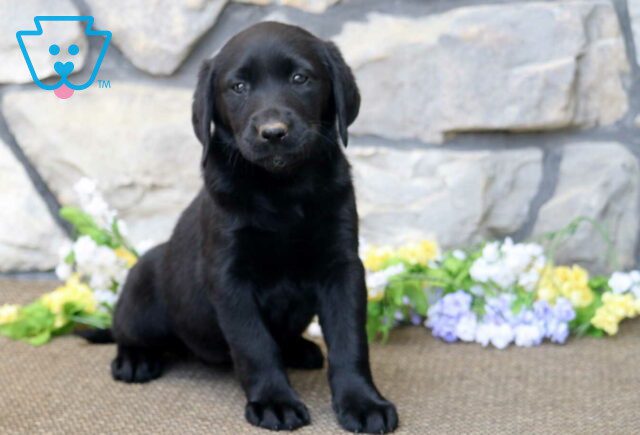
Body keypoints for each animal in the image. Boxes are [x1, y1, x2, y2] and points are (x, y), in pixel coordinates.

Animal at [112, 22, 398, 434]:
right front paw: (275, 402)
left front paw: (363, 402)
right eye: (238, 87)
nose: (273, 132)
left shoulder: (342, 267)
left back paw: (301, 349)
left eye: (300, 78)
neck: (282, 189)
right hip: (143, 282)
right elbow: (254, 345)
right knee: (126, 329)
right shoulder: (230, 276)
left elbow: (350, 340)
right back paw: (134, 359)